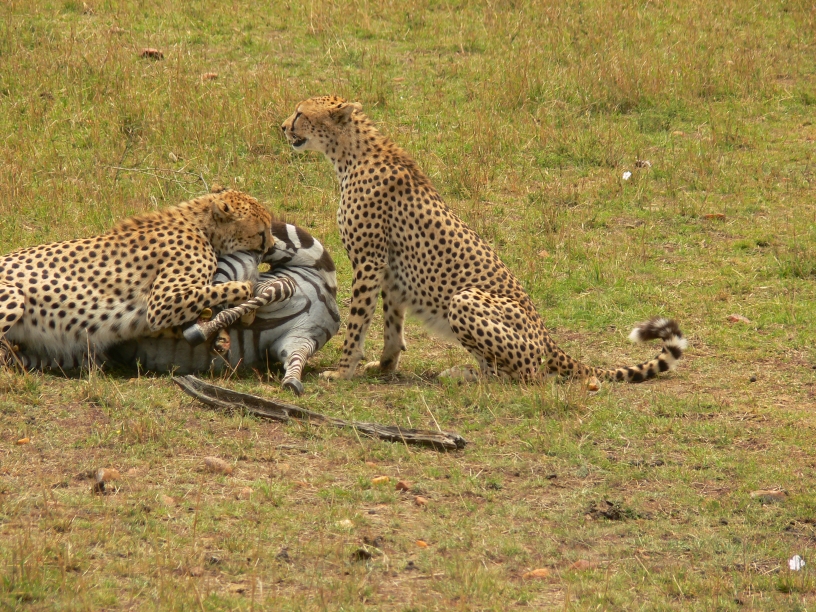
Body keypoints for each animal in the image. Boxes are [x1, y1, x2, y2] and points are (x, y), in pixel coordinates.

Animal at [0, 188, 273, 369]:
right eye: (262, 232)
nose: (271, 246)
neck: (201, 226)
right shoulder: (162, 305)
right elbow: (233, 288)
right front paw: (248, 297)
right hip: (13, 295)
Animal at [281, 95, 687, 386]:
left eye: (300, 113)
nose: (282, 126)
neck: (351, 154)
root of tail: (547, 335)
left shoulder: (369, 260)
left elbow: (357, 321)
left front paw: (342, 370)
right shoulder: (390, 270)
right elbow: (392, 327)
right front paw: (384, 367)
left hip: (465, 300)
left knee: (526, 376)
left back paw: (467, 376)